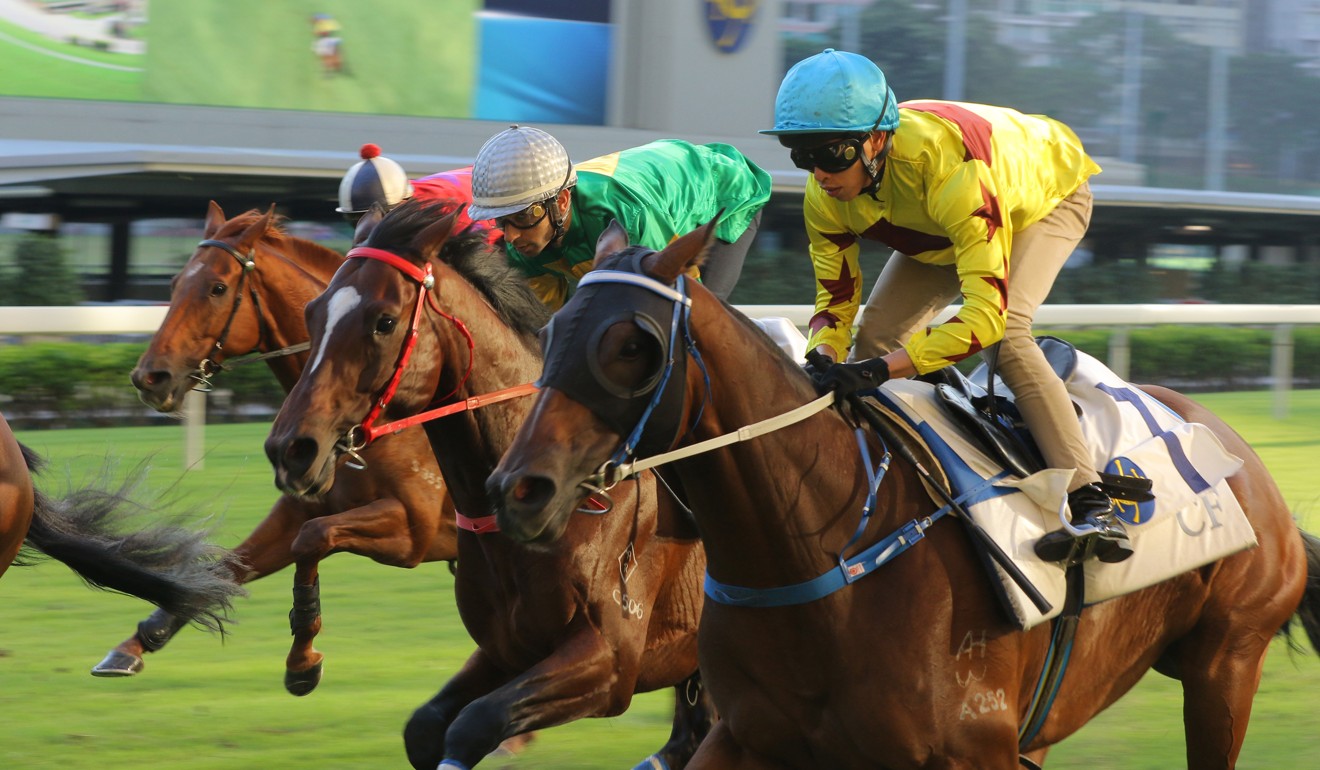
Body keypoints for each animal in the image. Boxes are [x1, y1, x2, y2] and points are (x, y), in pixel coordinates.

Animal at [93, 202, 459, 697]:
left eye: (217, 287)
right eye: (174, 283)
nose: (150, 377)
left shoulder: (414, 530)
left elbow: (315, 539)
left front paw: (302, 658)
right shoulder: (301, 506)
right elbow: (231, 565)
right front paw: (136, 642)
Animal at [258, 203, 712, 770]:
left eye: (384, 321)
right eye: (312, 314)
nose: (291, 448)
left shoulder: (610, 661)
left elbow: (477, 722)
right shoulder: (505, 650)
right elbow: (424, 727)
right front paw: (302, 658)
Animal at [491, 216, 1320, 770]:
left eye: (632, 344)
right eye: (552, 327)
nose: (518, 487)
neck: (822, 554)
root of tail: (1244, 459)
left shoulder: (974, 750)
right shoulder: (748, 735)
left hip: (1225, 664)